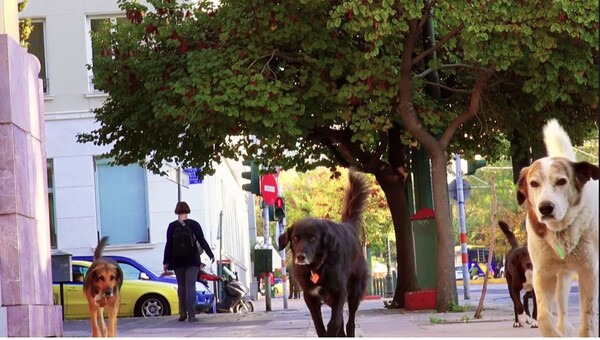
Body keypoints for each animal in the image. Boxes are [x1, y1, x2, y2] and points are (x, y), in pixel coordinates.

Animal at [278, 170, 370, 338]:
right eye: (295, 238)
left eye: (313, 238)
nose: (300, 256)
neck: (317, 267)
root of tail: (348, 226)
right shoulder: (310, 297)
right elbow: (320, 325)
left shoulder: (339, 293)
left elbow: (334, 323)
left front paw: (331, 331)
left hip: (354, 292)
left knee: (350, 322)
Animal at [516, 119, 596, 338]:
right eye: (533, 183)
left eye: (561, 181)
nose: (545, 208)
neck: (561, 232)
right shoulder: (543, 273)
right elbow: (543, 317)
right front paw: (555, 332)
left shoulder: (589, 270)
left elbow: (587, 315)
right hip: (563, 274)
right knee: (561, 304)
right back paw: (564, 326)